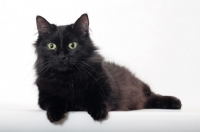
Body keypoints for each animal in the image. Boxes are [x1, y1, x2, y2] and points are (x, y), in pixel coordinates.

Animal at [34, 13, 181, 122]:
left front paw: (98, 112)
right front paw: (54, 114)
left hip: (142, 90)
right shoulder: (44, 97)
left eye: (72, 45)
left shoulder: (107, 89)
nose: (62, 57)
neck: (69, 77)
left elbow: (98, 99)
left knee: (152, 96)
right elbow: (54, 102)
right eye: (51, 46)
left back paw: (175, 102)